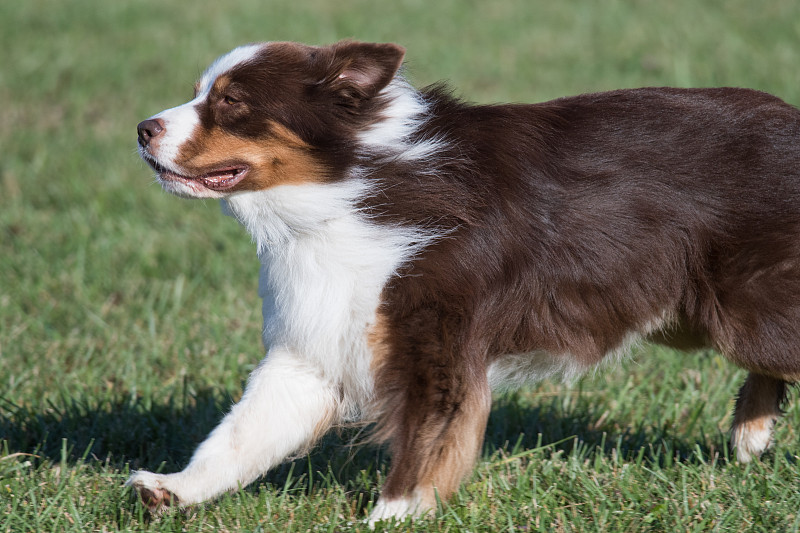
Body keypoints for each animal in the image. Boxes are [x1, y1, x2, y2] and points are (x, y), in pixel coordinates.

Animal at [128, 39, 800, 520]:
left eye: (231, 102)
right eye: (199, 93)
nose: (141, 128)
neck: (344, 191)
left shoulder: (436, 342)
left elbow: (425, 442)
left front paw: (390, 517)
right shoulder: (315, 343)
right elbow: (241, 433)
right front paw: (173, 489)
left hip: (742, 310)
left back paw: (754, 430)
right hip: (692, 312)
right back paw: (752, 433)